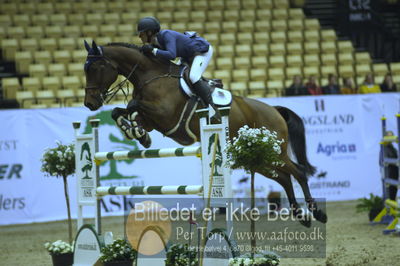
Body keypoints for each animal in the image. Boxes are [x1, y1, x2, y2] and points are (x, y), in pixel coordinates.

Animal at [83, 40, 326, 227]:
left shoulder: (165, 115)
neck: (151, 76)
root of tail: (274, 109)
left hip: (276, 153)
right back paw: (301, 216)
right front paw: (138, 133)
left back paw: (317, 213)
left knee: (299, 172)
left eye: (95, 68)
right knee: (284, 178)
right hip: (259, 159)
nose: (89, 104)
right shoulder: (154, 120)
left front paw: (136, 131)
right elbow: (121, 111)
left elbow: (133, 105)